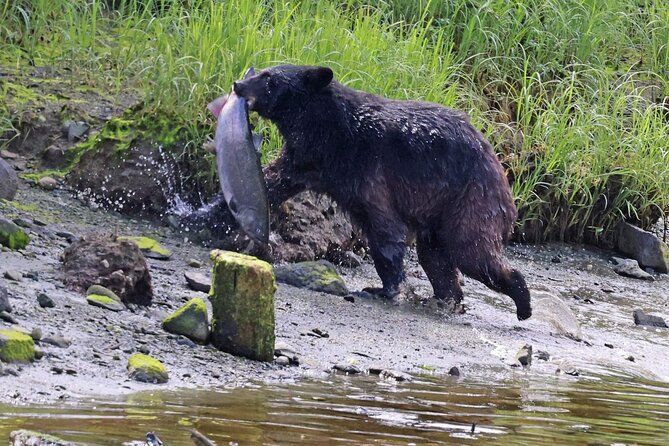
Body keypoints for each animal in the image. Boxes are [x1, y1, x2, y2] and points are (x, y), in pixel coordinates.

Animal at [211, 64, 531, 320]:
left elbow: (384, 229)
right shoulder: (308, 161)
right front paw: (211, 220)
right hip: (441, 213)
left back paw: (522, 301)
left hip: (470, 198)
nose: (238, 84)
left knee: (472, 251)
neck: (329, 132)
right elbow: (271, 181)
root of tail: (498, 165)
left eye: (269, 78)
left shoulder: (369, 166)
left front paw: (384, 288)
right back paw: (446, 298)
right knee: (436, 257)